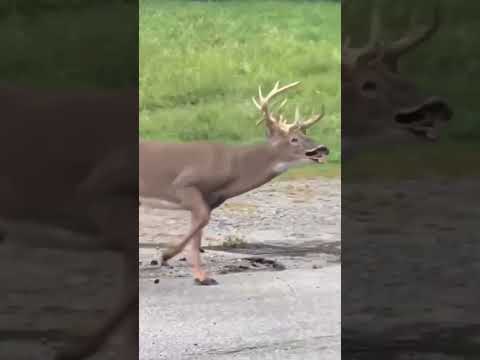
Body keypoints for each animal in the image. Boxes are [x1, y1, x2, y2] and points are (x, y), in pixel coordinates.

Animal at [139, 80, 330, 286]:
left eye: (308, 134)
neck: (232, 168)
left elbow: (199, 231)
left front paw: (202, 277)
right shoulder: (183, 184)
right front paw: (165, 256)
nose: (323, 148)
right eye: (293, 139)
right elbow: (203, 220)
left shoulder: (209, 199)